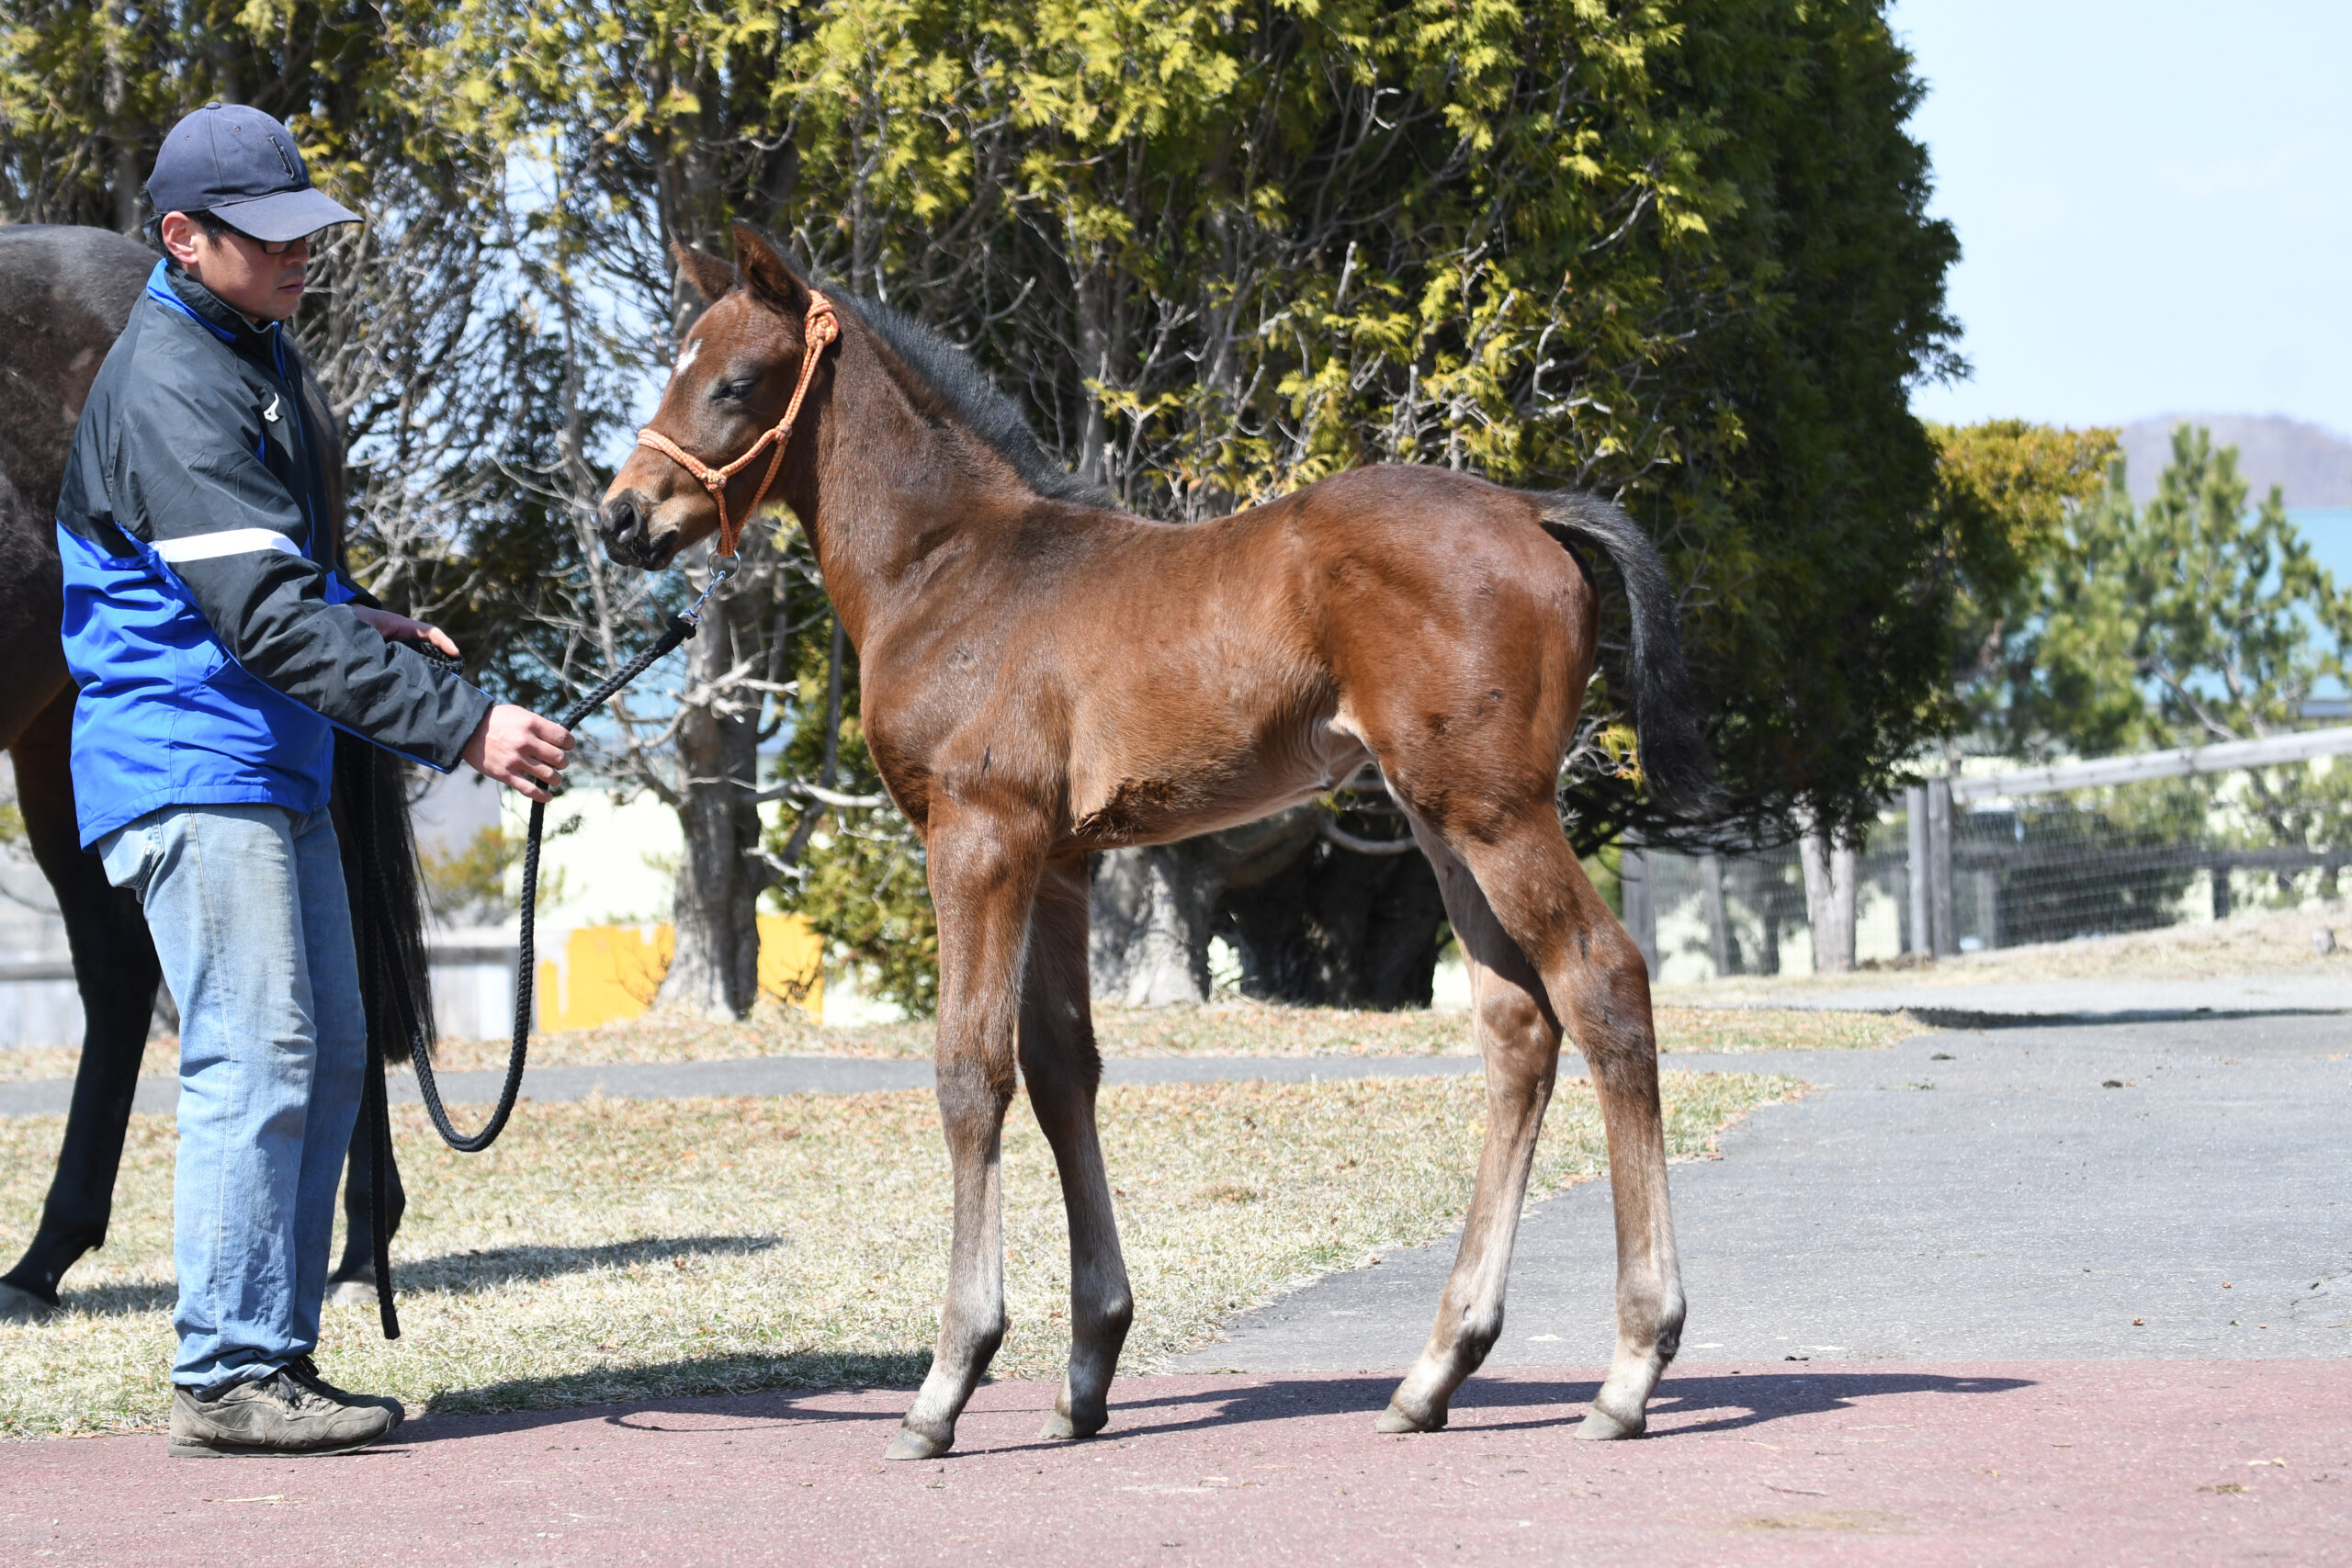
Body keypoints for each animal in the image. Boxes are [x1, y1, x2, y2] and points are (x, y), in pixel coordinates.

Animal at [597, 226, 1721, 1466]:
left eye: (737, 382)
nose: (622, 518)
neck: (950, 570)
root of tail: (1527, 508)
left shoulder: (977, 839)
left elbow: (969, 1074)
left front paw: (948, 1381)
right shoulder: (1059, 863)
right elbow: (1060, 1071)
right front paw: (1086, 1371)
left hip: (1494, 808)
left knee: (1603, 982)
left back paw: (1629, 1369)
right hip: (1441, 821)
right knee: (1519, 1027)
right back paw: (1434, 1372)